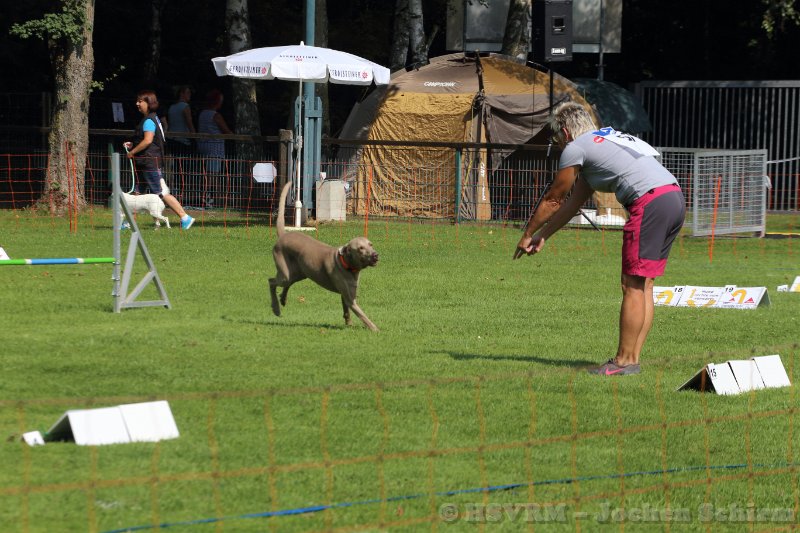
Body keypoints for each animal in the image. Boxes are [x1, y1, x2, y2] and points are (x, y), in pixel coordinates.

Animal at [269, 181, 379, 331]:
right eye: (360, 248)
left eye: (371, 244)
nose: (375, 255)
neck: (346, 264)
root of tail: (283, 234)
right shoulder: (350, 299)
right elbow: (363, 315)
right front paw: (375, 329)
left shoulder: (347, 294)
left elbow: (347, 311)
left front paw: (349, 324)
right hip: (286, 272)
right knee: (271, 282)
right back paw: (276, 308)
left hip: (299, 272)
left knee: (287, 283)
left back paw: (283, 299)